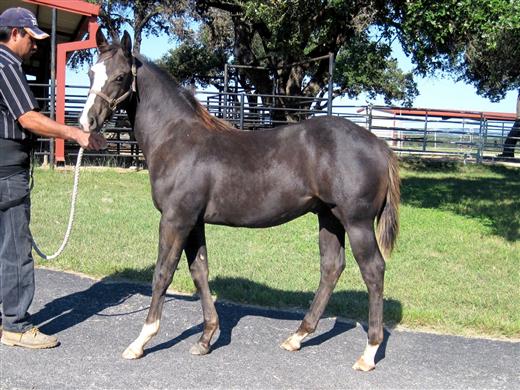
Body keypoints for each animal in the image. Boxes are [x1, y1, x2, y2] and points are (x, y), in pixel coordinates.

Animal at [79, 31, 400, 372]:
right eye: (90, 73)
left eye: (120, 76)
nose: (87, 122)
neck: (178, 139)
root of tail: (379, 145)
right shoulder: (194, 221)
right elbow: (199, 272)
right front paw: (206, 338)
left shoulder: (175, 218)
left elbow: (163, 273)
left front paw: (141, 341)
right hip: (328, 217)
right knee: (331, 267)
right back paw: (297, 337)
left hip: (357, 223)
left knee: (373, 271)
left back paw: (369, 353)